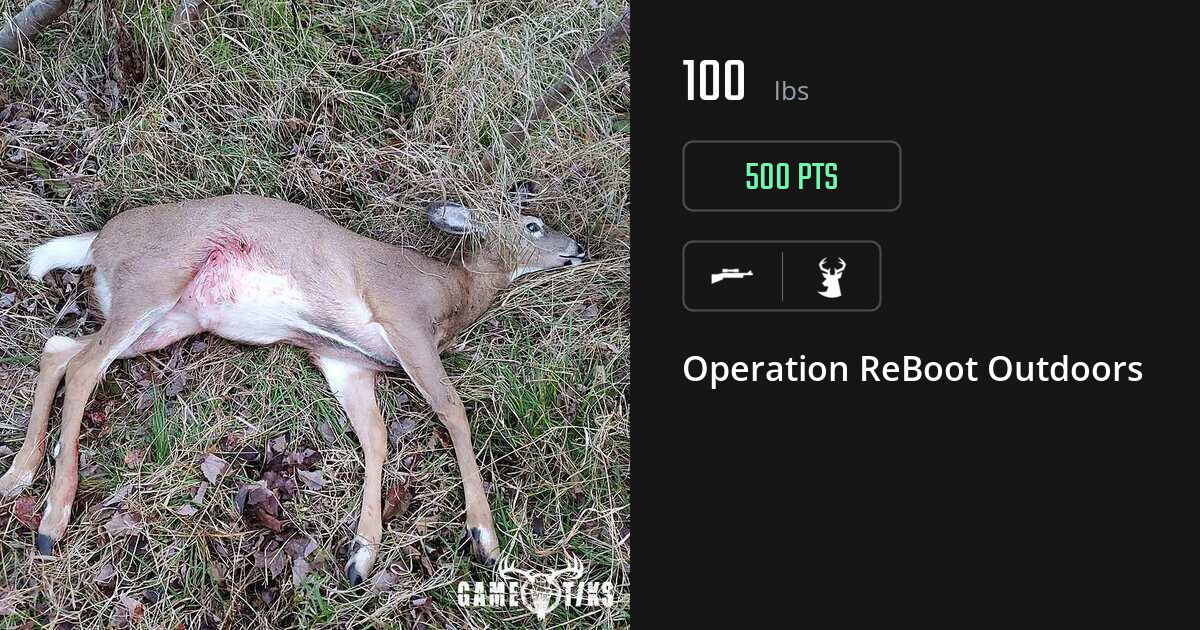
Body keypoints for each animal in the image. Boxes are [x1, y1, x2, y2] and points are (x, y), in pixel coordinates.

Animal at [0, 194, 588, 585]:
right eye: (533, 224)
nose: (578, 247)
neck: (452, 294)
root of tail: (97, 241)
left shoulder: (345, 362)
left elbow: (377, 438)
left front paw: (361, 553)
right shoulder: (404, 321)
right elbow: (453, 411)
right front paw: (485, 538)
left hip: (173, 320)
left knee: (59, 348)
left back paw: (19, 475)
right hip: (152, 282)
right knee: (83, 367)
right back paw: (52, 519)